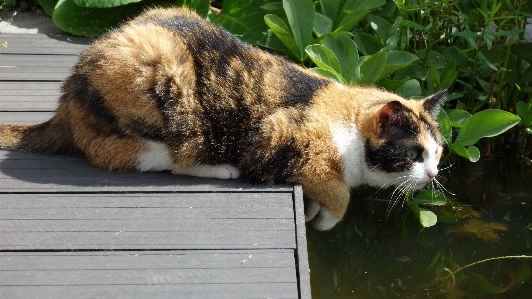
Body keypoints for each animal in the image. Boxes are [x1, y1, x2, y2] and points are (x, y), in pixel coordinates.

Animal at [0, 7, 446, 232]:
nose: (434, 175)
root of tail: (65, 102)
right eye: (414, 154)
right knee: (153, 156)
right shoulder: (274, 139)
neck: (344, 121)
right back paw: (220, 167)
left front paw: (314, 213)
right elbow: (339, 193)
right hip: (163, 80)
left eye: (438, 152)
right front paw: (325, 219)